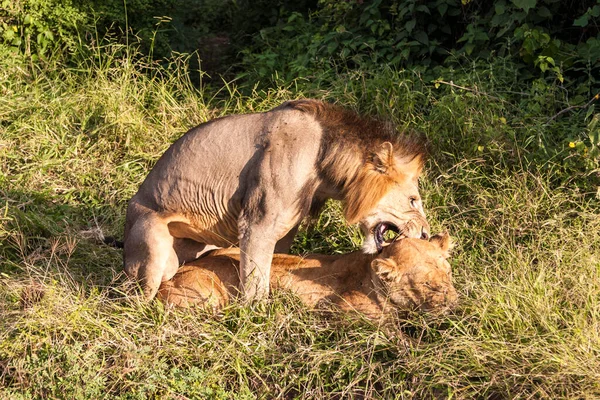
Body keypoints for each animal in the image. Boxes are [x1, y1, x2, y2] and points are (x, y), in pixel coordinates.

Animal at [124, 100, 428, 300]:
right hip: (152, 247)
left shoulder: (286, 225)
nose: (426, 234)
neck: (325, 161)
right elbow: (255, 281)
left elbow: (277, 263)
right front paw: (255, 319)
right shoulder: (257, 222)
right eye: (413, 200)